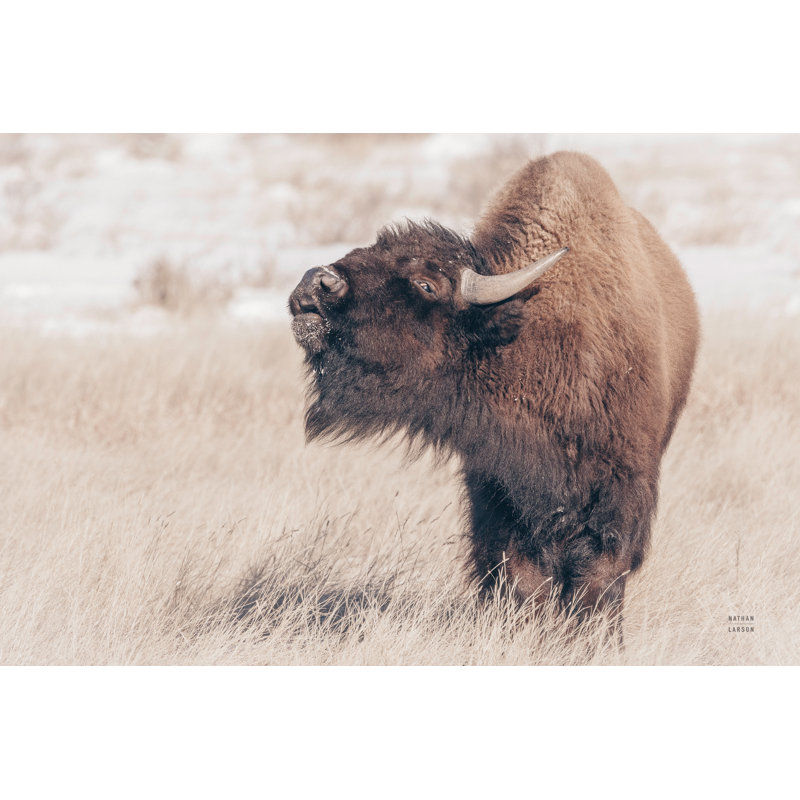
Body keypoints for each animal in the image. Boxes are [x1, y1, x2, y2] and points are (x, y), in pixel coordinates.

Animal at [288, 151, 699, 630]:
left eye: (427, 284)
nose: (317, 283)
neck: (522, 337)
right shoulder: (494, 493)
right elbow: (522, 580)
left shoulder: (617, 499)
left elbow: (596, 581)